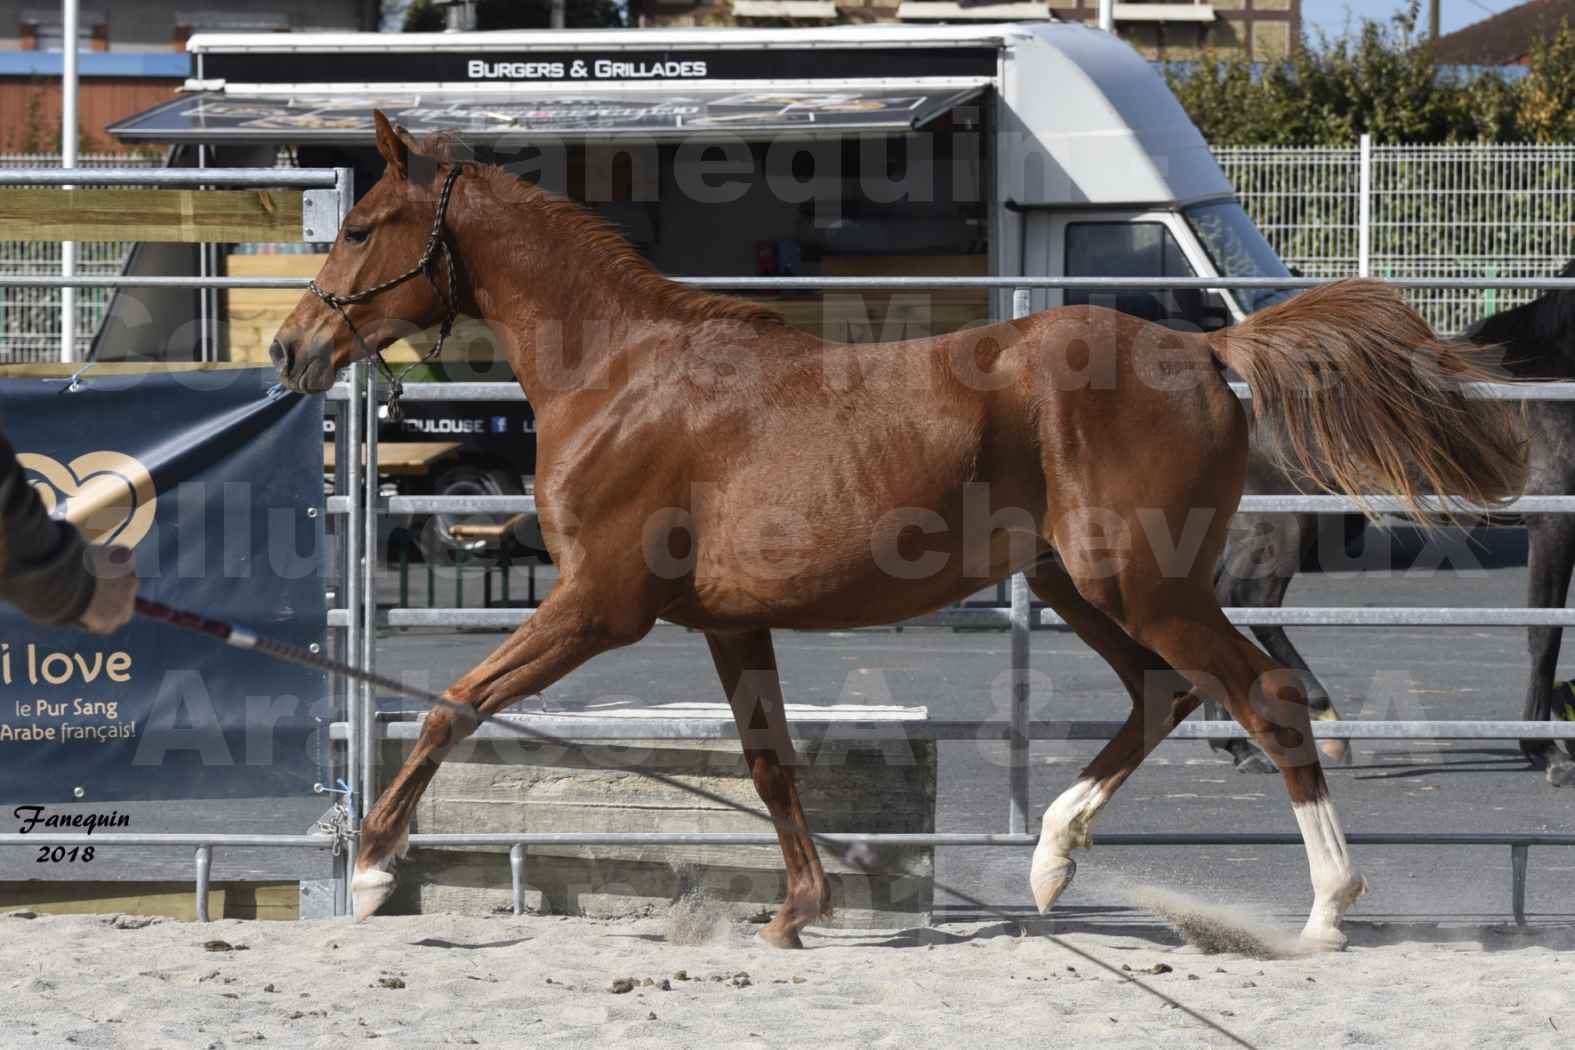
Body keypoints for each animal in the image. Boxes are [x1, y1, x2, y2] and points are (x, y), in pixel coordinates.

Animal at [270, 114, 1524, 950]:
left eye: (365, 228)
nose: (290, 349)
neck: (622, 375)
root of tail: (1209, 350)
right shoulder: (728, 624)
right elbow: (769, 760)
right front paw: (798, 911)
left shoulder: (598, 606)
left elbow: (454, 702)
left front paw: (373, 872)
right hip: (1078, 585)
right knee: (1165, 693)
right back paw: (1050, 866)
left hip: (1142, 583)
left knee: (1262, 694)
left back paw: (1326, 911)